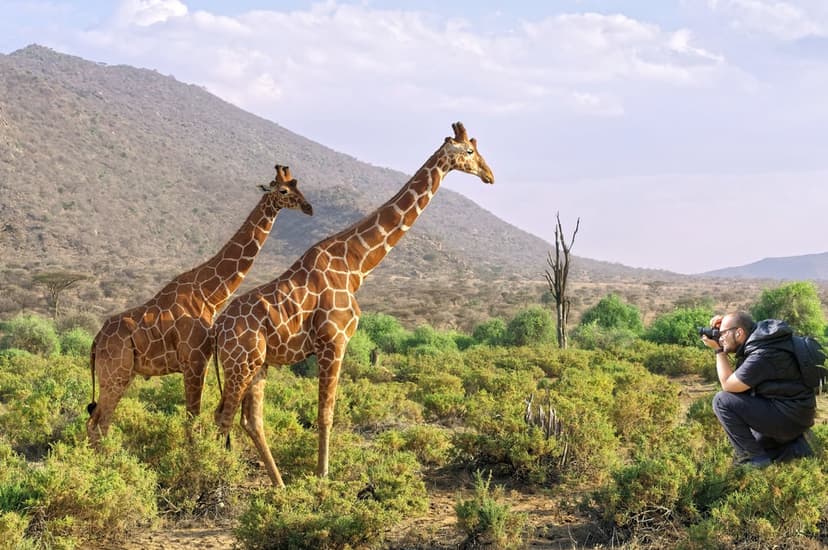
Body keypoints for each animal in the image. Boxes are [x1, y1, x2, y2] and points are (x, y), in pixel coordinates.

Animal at [86, 165, 313, 447]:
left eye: (298, 185)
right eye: (283, 190)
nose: (308, 208)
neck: (209, 293)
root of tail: (96, 340)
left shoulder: (197, 361)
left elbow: (192, 416)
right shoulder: (195, 360)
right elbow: (192, 417)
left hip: (124, 374)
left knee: (98, 421)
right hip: (115, 372)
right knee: (98, 422)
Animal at [213, 122, 494, 487]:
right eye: (470, 151)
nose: (489, 175)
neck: (355, 265)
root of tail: (216, 329)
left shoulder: (330, 345)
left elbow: (324, 413)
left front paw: (318, 475)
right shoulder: (334, 342)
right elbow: (326, 415)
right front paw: (322, 477)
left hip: (258, 364)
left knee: (249, 419)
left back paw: (279, 484)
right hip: (240, 363)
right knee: (224, 415)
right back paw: (212, 481)